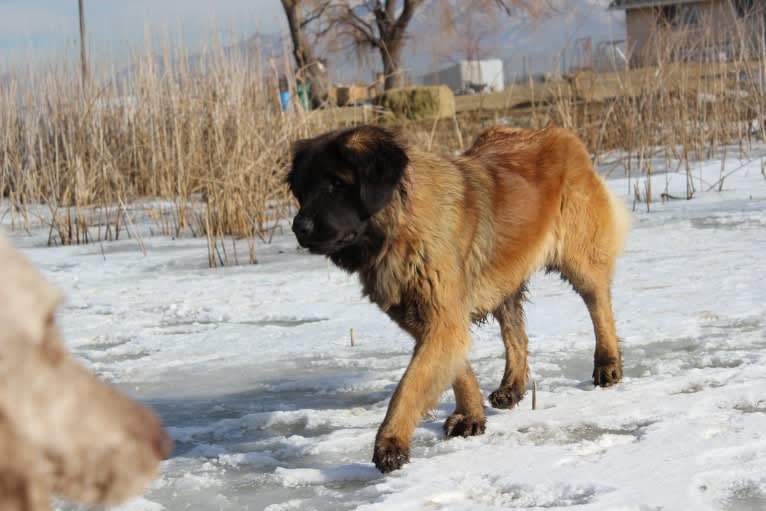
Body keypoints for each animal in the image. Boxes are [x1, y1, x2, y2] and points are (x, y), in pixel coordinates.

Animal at [286, 123, 632, 472]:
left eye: (336, 184)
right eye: (302, 191)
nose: (299, 227)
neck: (400, 228)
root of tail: (556, 132)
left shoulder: (442, 319)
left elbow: (409, 385)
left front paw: (390, 442)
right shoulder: (432, 318)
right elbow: (456, 370)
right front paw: (470, 416)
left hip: (580, 258)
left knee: (599, 304)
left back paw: (607, 365)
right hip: (503, 279)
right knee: (516, 335)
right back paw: (512, 387)